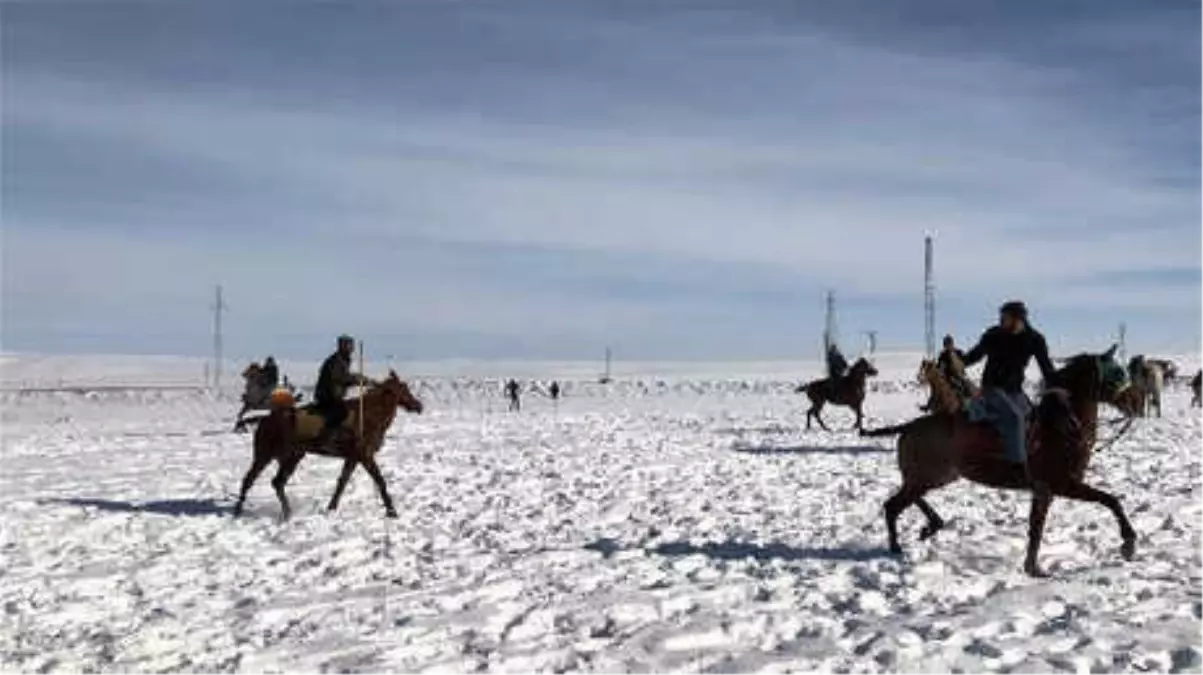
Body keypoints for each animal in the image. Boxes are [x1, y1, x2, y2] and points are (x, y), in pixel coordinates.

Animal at [232, 370, 425, 517]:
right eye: (404, 388)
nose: (418, 405)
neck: (370, 415)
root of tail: (264, 419)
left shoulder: (353, 457)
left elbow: (342, 482)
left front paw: (331, 507)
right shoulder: (365, 455)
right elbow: (380, 481)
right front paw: (392, 511)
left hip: (292, 457)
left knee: (277, 482)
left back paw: (287, 512)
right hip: (264, 455)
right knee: (249, 480)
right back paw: (238, 510)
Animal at [866, 346, 1126, 572]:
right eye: (1117, 371)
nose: (1131, 401)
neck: (1062, 430)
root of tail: (908, 427)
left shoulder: (1044, 491)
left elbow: (1036, 527)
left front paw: (1032, 568)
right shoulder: (1062, 485)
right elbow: (1110, 501)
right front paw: (1129, 543)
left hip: (937, 475)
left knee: (907, 498)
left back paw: (931, 525)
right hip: (929, 475)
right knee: (893, 505)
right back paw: (898, 545)